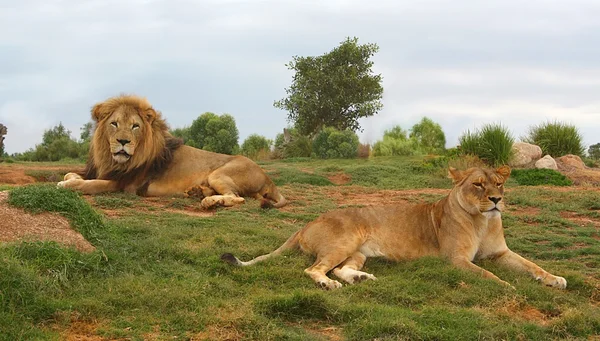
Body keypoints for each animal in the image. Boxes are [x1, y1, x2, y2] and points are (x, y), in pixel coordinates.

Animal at [57, 94, 288, 209]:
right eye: (114, 124)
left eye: (135, 126)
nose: (123, 141)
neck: (112, 160)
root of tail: (268, 178)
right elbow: (72, 173)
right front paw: (70, 178)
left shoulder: (123, 184)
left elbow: (89, 184)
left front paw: (67, 185)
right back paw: (197, 192)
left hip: (220, 173)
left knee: (237, 198)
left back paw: (209, 202)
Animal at [224, 166, 568, 288]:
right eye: (478, 184)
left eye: (499, 183)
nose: (496, 199)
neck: (483, 221)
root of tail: (309, 221)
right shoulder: (455, 259)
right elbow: (486, 274)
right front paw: (508, 286)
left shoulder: (500, 254)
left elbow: (532, 265)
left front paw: (554, 279)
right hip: (345, 241)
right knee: (315, 270)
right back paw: (328, 285)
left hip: (358, 251)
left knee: (340, 269)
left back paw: (360, 278)